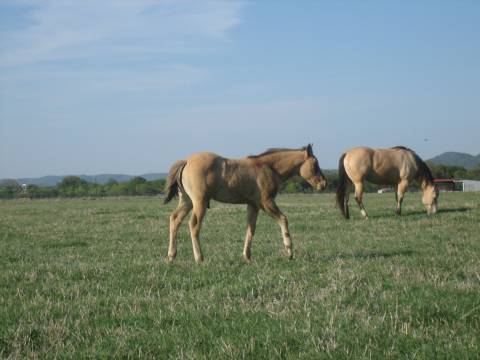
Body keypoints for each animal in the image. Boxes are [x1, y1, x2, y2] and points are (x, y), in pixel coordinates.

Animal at [162, 145, 326, 262]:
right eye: (315, 164)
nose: (323, 184)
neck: (268, 167)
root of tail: (186, 162)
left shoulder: (253, 205)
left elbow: (251, 228)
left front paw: (247, 257)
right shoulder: (266, 202)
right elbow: (283, 219)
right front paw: (289, 252)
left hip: (187, 201)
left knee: (175, 219)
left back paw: (171, 256)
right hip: (199, 202)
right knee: (194, 225)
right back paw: (199, 258)